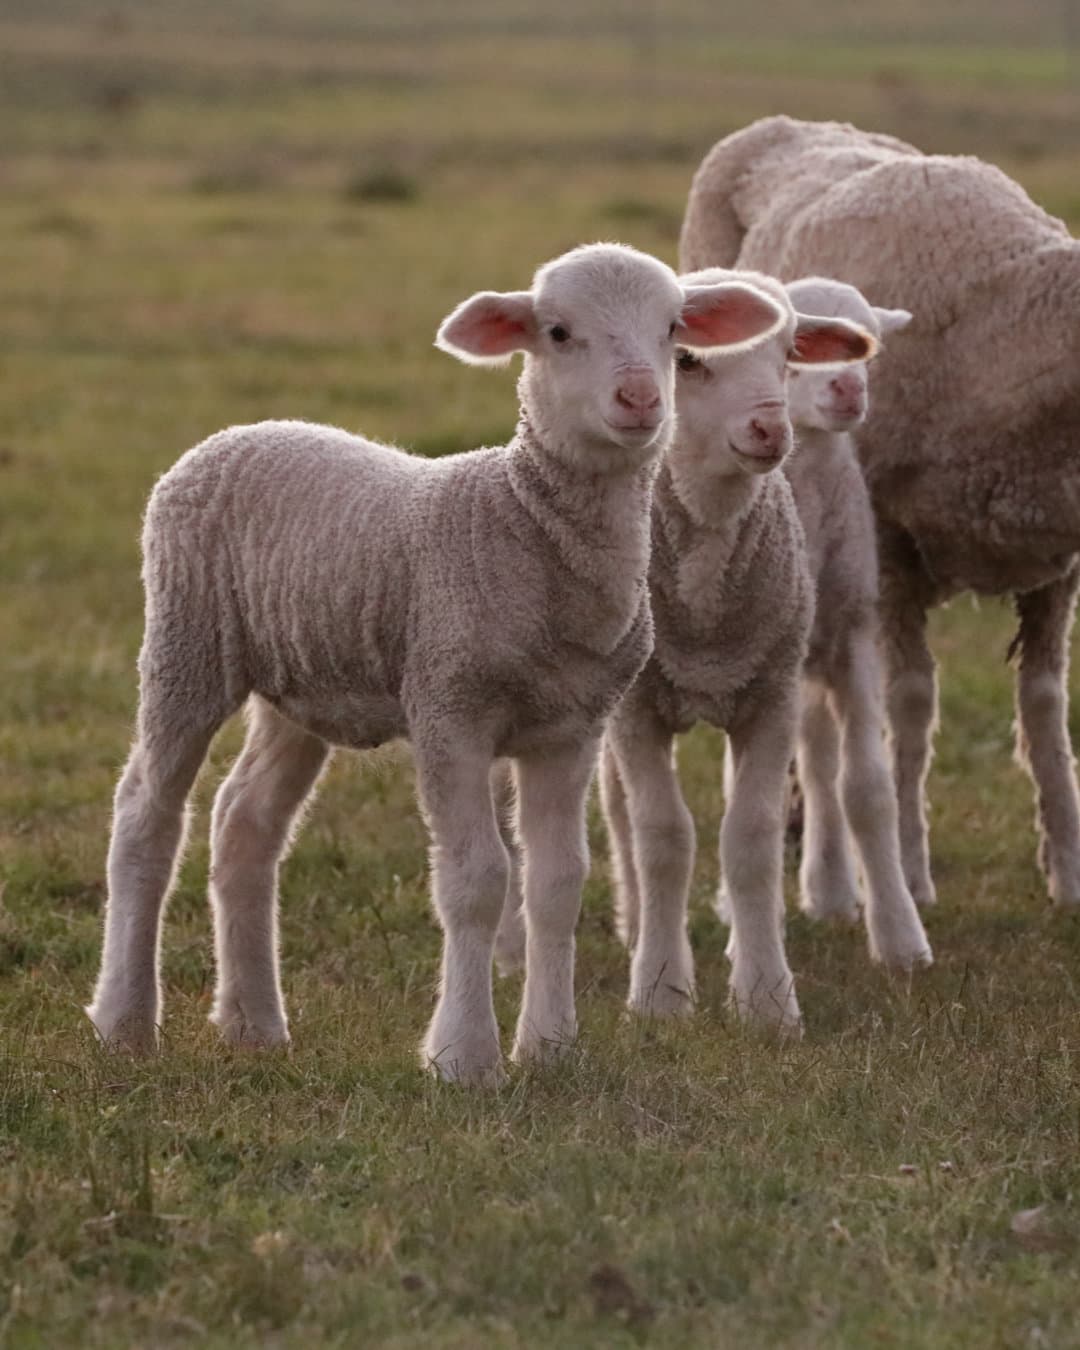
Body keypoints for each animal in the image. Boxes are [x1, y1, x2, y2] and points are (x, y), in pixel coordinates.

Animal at [84, 242, 787, 1085]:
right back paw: (125, 1020)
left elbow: (557, 882)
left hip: (300, 684)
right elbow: (477, 880)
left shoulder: (571, 726)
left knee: (245, 822)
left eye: (675, 328)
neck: (522, 522)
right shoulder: (450, 705)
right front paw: (465, 1056)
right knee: (145, 813)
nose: (641, 398)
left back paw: (254, 1024)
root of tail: (237, 433)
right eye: (557, 332)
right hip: (187, 643)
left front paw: (549, 1047)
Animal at [594, 268, 875, 1031]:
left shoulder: (771, 696)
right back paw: (635, 924)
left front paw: (766, 998)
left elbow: (750, 838)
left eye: (789, 353)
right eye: (687, 360)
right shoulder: (638, 710)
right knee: (618, 812)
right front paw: (660, 993)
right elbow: (662, 837)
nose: (770, 428)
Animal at [681, 117, 1080, 911]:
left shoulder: (1056, 564)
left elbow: (1046, 706)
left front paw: (1068, 867)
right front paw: (907, 868)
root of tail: (787, 123)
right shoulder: (892, 551)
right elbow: (910, 706)